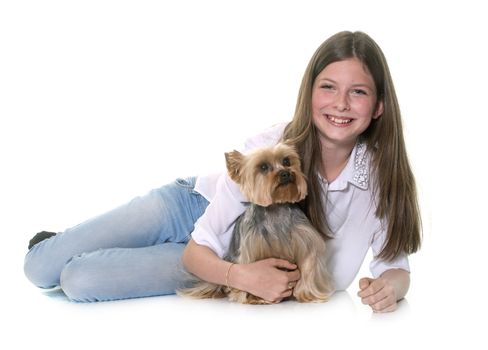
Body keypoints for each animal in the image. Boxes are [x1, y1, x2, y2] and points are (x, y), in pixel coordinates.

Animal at [180, 144, 336, 302]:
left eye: (286, 161)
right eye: (263, 167)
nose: (285, 173)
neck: (276, 207)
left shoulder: (306, 241)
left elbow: (309, 266)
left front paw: (308, 294)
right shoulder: (253, 247)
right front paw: (255, 297)